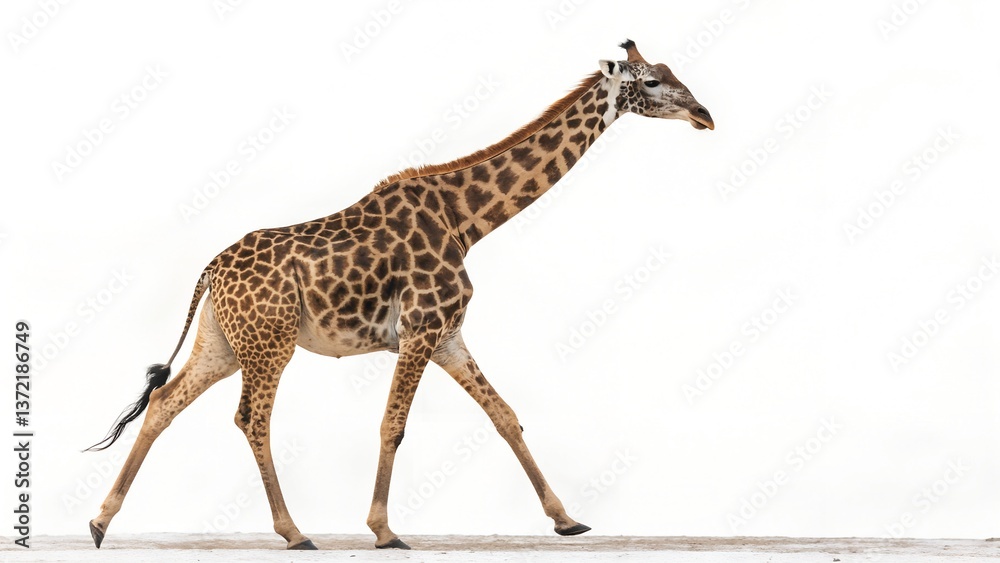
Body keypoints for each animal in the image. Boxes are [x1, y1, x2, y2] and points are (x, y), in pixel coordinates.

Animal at [86, 40, 713, 550]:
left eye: (667, 71)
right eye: (650, 81)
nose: (704, 115)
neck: (466, 221)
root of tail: (210, 271)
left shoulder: (448, 335)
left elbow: (505, 415)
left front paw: (566, 519)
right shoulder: (420, 329)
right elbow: (394, 424)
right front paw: (385, 530)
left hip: (225, 341)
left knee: (165, 403)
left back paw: (99, 522)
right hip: (270, 343)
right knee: (251, 417)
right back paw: (293, 532)